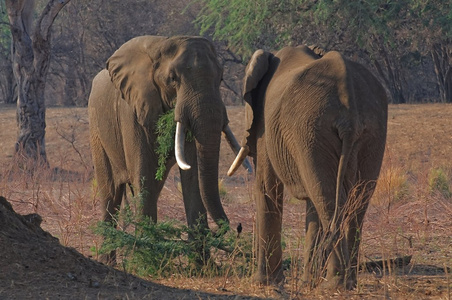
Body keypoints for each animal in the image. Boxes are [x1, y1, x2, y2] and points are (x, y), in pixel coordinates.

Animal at [88, 35, 251, 264]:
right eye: (173, 79)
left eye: (220, 79)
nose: (237, 227)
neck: (162, 44)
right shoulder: (131, 110)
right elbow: (144, 176)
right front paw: (145, 260)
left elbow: (192, 176)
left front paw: (203, 266)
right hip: (96, 129)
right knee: (110, 193)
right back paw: (107, 261)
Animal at [230, 45, 388, 290]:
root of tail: (349, 103)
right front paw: (306, 283)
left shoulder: (266, 127)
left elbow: (267, 188)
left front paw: (264, 283)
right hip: (370, 131)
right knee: (355, 200)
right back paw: (347, 282)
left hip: (312, 130)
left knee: (329, 200)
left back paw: (334, 285)